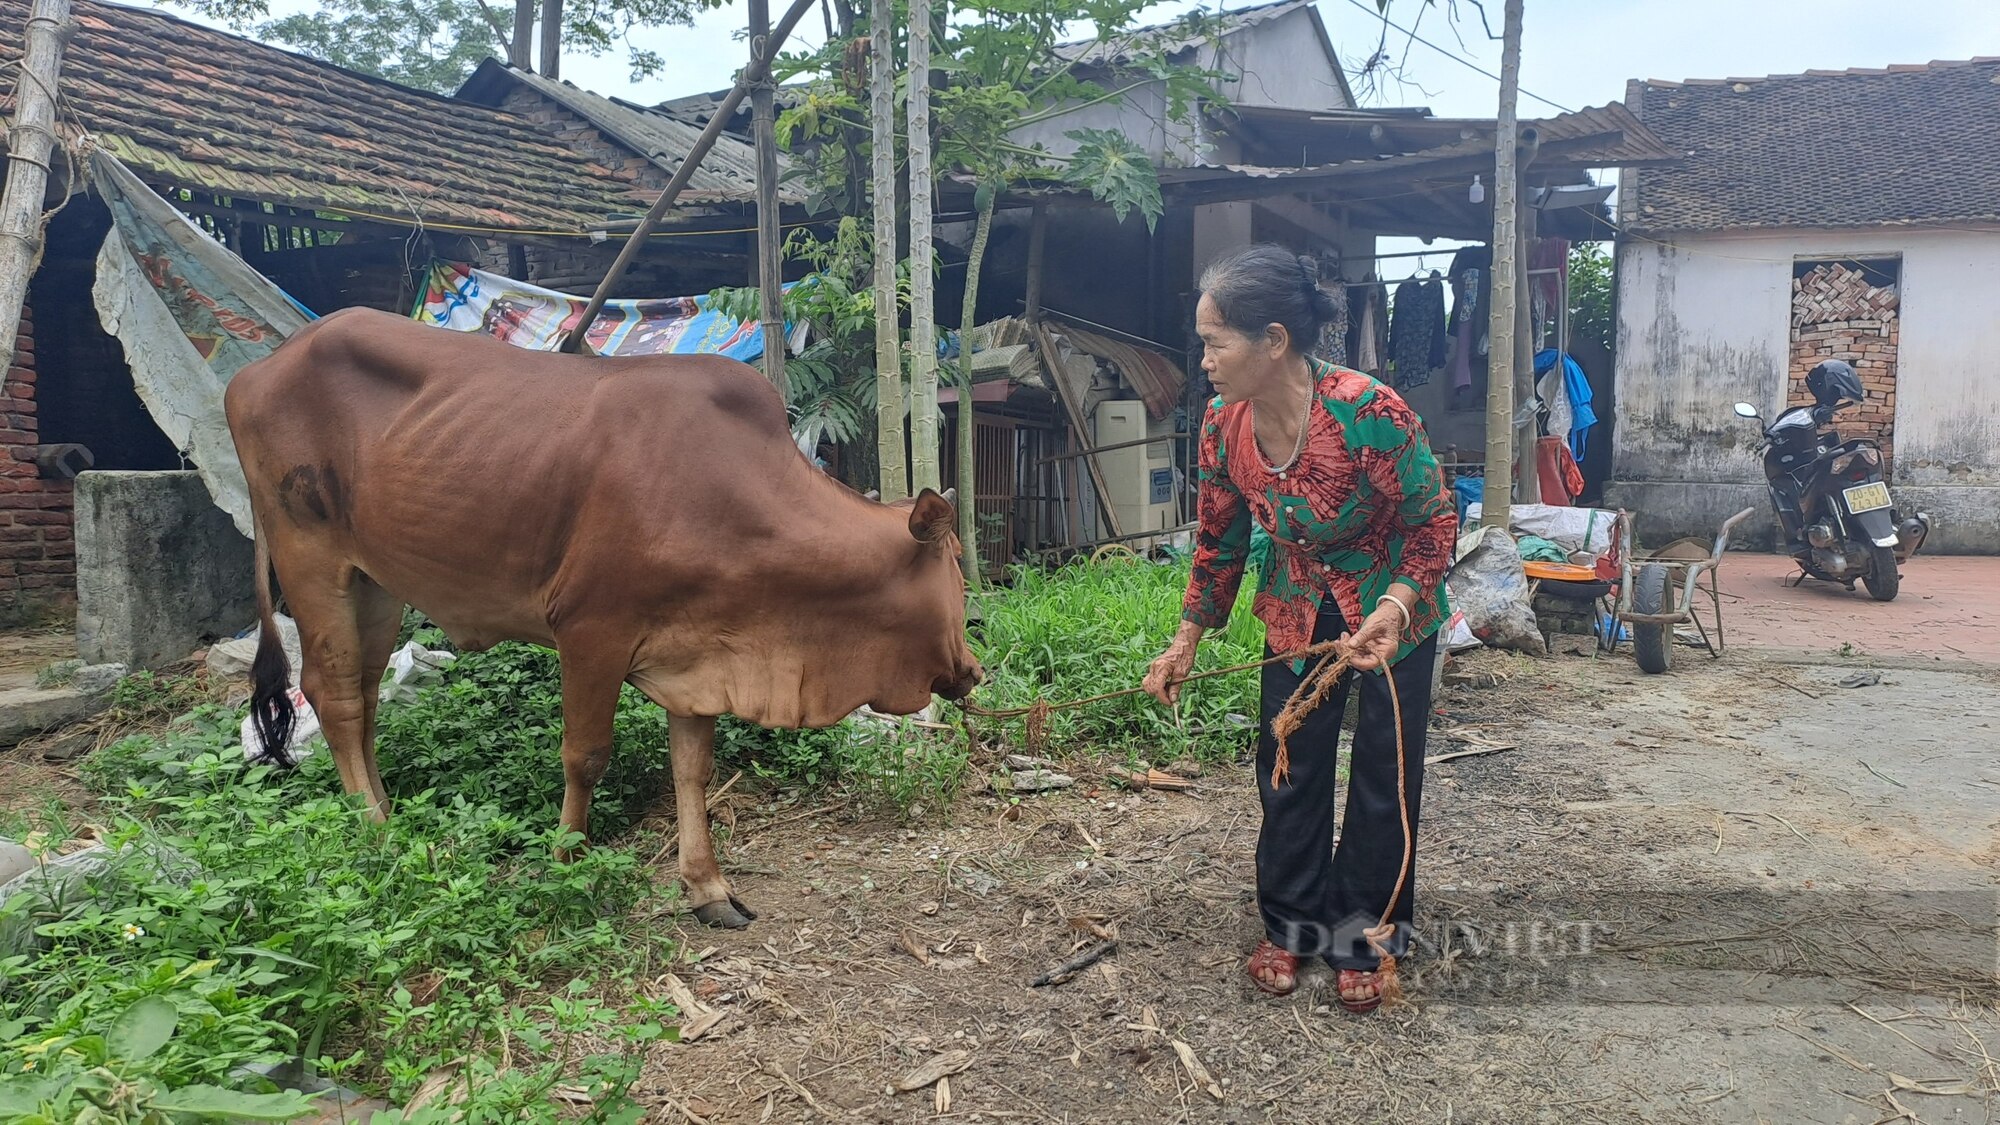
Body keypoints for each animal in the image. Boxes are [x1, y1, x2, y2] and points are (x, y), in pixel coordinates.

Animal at [227, 304, 984, 920]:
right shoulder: (592, 630)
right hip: (311, 558)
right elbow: (585, 756)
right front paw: (565, 865)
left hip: (374, 583)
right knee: (333, 695)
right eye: (954, 566)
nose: (973, 669)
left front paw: (707, 887)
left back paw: (391, 818)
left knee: (361, 697)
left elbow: (692, 768)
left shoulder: (699, 651)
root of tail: (255, 372)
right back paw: (378, 833)